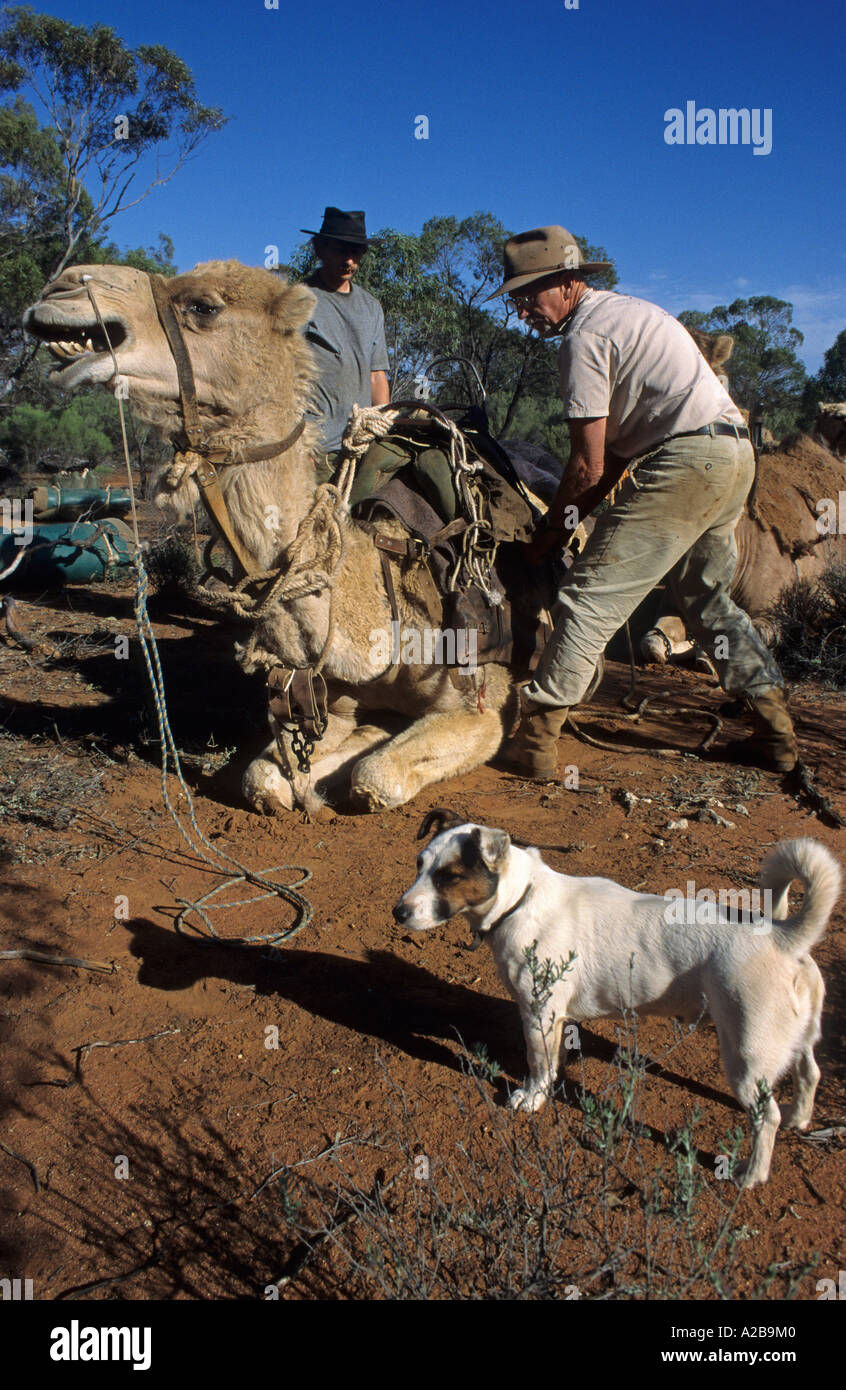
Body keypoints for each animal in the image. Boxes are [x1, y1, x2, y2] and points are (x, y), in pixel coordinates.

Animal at [24, 261, 547, 817]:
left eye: (204, 306)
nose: (63, 287)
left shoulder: (483, 704)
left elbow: (376, 776)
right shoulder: (330, 700)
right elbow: (265, 778)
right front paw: (322, 771)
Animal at [391, 811, 839, 1189]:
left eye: (449, 876)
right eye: (418, 864)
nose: (398, 912)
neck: (522, 899)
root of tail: (783, 936)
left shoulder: (538, 1011)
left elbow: (538, 1064)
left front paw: (532, 1099)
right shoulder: (555, 1018)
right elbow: (554, 1060)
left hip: (747, 1057)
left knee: (767, 1116)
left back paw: (751, 1173)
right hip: (797, 1040)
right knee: (809, 1074)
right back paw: (800, 1118)